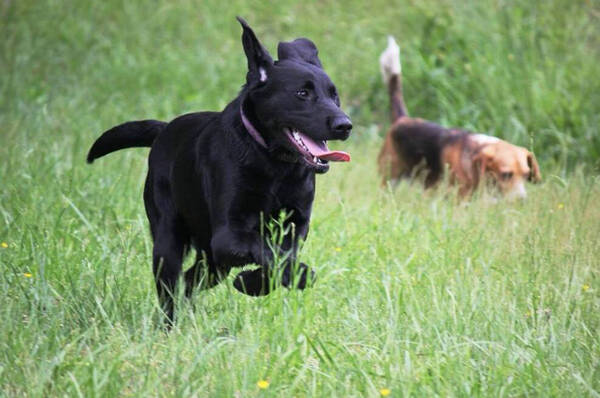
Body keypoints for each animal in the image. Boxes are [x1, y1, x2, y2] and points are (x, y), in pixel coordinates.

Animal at [86, 18, 354, 324]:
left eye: (334, 95)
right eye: (302, 93)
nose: (345, 125)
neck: (274, 165)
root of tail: (164, 129)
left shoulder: (295, 227)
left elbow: (280, 258)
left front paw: (253, 283)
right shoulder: (228, 236)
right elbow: (266, 251)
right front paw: (285, 277)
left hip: (212, 261)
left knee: (190, 280)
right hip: (168, 239)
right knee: (170, 286)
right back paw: (169, 325)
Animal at [378, 36, 540, 198]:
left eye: (526, 175)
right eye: (506, 174)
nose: (521, 200)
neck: (475, 150)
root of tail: (402, 119)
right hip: (390, 178)